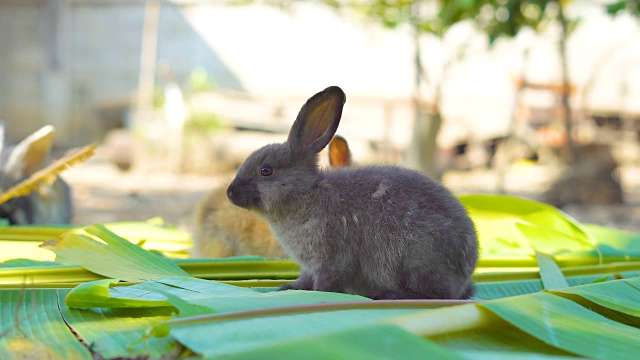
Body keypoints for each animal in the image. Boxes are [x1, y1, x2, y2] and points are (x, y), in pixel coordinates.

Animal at [228, 86, 478, 300]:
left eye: (266, 170)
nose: (230, 193)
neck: (306, 193)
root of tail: (465, 273)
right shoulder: (308, 267)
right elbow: (304, 280)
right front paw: (288, 287)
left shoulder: (331, 259)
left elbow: (326, 284)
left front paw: (315, 293)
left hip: (417, 259)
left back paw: (389, 294)